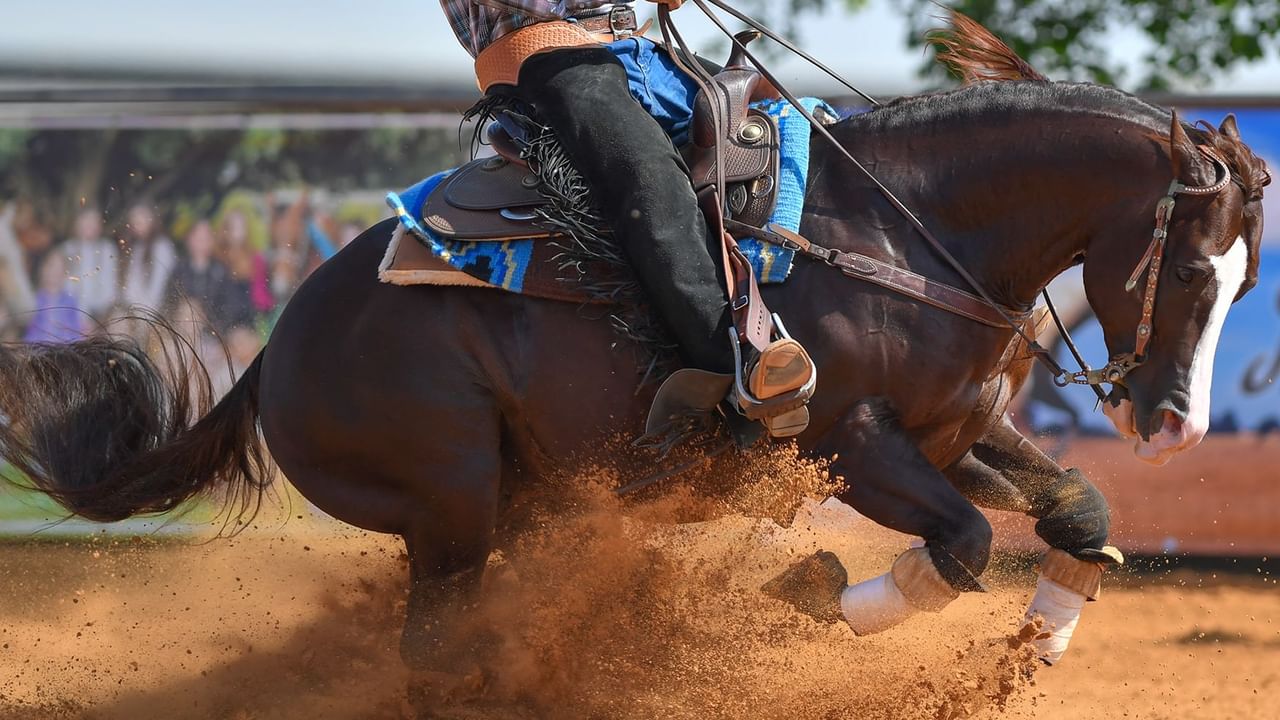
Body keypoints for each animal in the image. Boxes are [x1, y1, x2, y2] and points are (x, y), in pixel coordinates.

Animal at [0, 16, 1268, 681]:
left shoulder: (959, 427)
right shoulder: (850, 442)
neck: (904, 229)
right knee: (436, 647)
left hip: (517, 503)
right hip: (451, 501)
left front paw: (1042, 640)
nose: (1176, 427)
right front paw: (804, 591)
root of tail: (279, 349)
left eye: (1243, 278)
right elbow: (955, 545)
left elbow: (1076, 513)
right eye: (1190, 271)